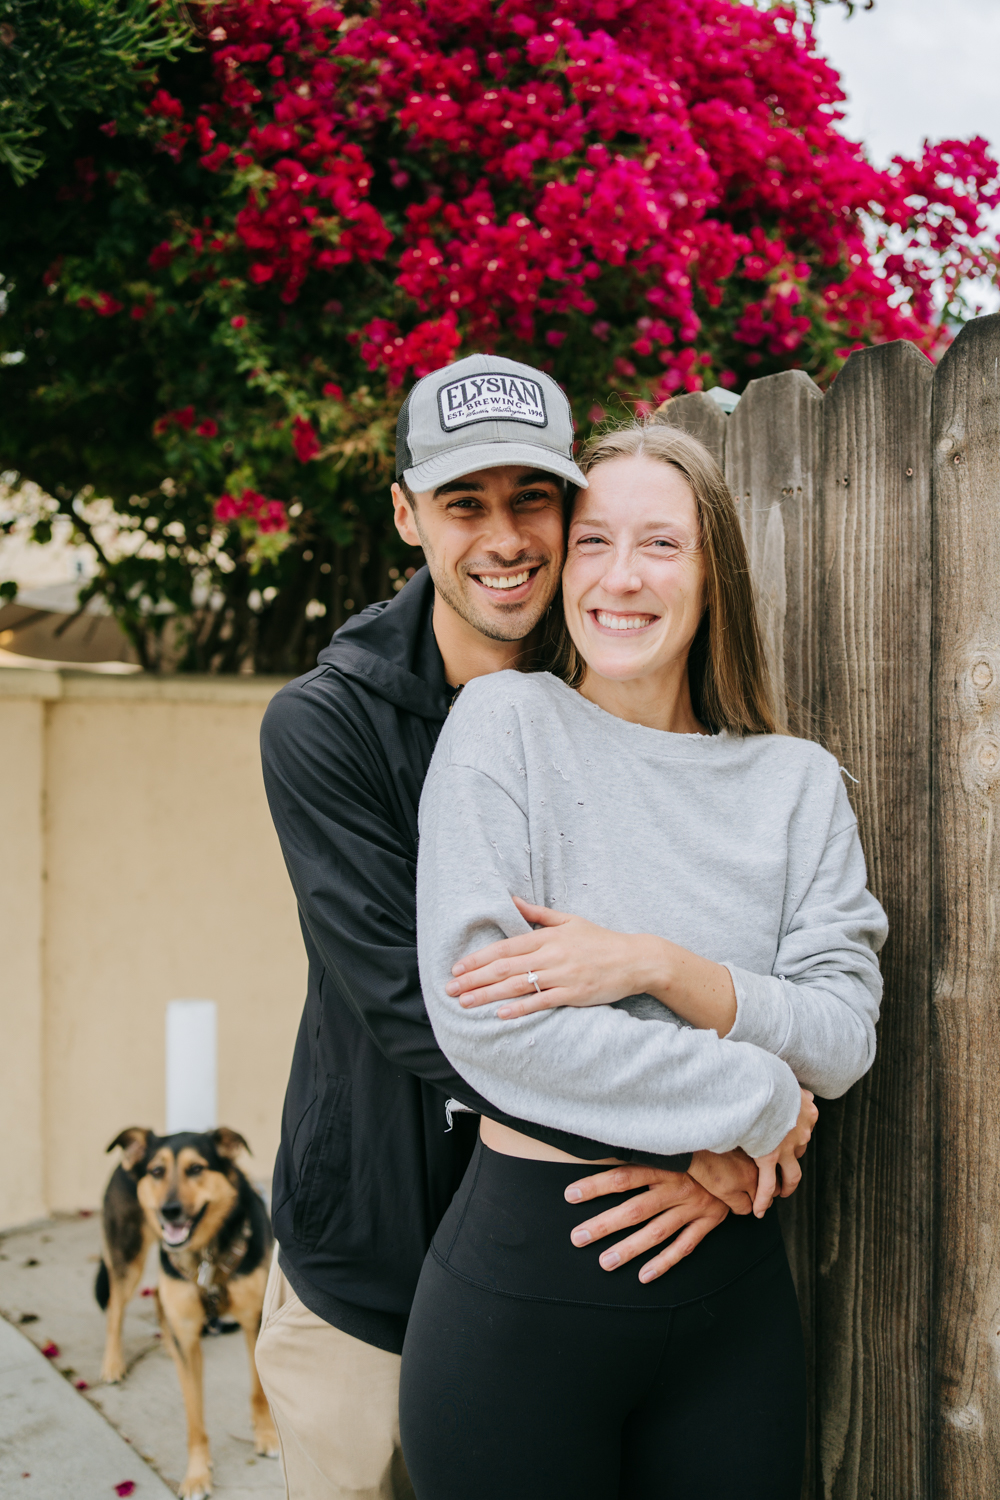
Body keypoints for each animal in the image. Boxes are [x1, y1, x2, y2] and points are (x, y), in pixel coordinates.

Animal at [96, 1128, 280, 1500]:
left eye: (196, 1169)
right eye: (156, 1171)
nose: (170, 1211)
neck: (205, 1255)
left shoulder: (254, 1321)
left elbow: (257, 1389)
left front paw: (266, 1433)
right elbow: (194, 1416)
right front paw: (197, 1474)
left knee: (157, 1299)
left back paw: (167, 1344)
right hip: (127, 1259)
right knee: (116, 1310)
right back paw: (113, 1363)